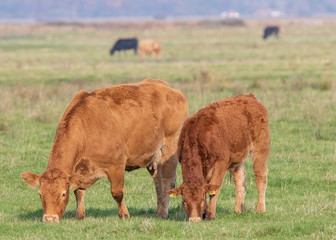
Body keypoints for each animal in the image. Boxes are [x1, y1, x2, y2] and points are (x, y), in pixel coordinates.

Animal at [20, 79, 189, 223]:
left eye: (62, 194)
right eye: (40, 194)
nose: (49, 218)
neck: (86, 129)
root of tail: (169, 89)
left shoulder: (117, 164)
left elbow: (117, 193)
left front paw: (124, 214)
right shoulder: (79, 172)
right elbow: (79, 191)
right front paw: (80, 215)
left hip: (169, 148)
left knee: (167, 181)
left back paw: (163, 213)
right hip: (154, 158)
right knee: (158, 183)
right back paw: (159, 211)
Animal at [168, 94, 270, 222]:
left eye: (201, 199)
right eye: (184, 200)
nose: (194, 219)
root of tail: (249, 97)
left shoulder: (221, 162)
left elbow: (214, 187)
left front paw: (210, 213)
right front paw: (204, 213)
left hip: (260, 147)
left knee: (260, 175)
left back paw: (260, 209)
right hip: (237, 158)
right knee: (240, 179)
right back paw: (238, 209)